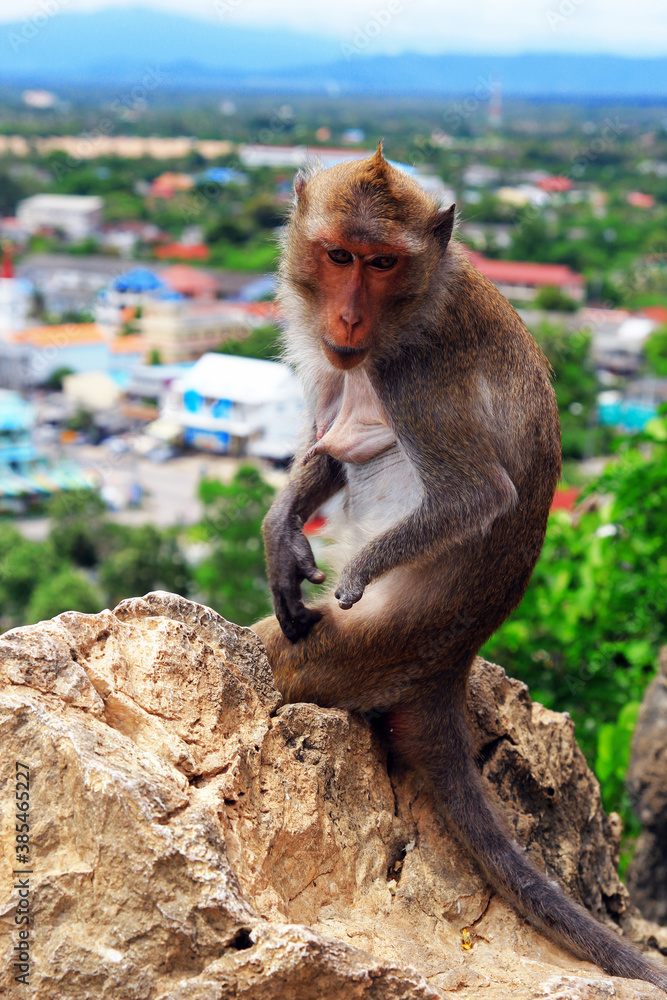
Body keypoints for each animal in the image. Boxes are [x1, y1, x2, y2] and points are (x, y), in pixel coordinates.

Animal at [252, 144, 667, 993]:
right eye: (339, 256)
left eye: (381, 262)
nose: (348, 318)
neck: (405, 312)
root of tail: (448, 664)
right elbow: (326, 449)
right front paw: (283, 534)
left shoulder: (416, 374)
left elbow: (478, 492)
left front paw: (355, 570)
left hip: (358, 653)